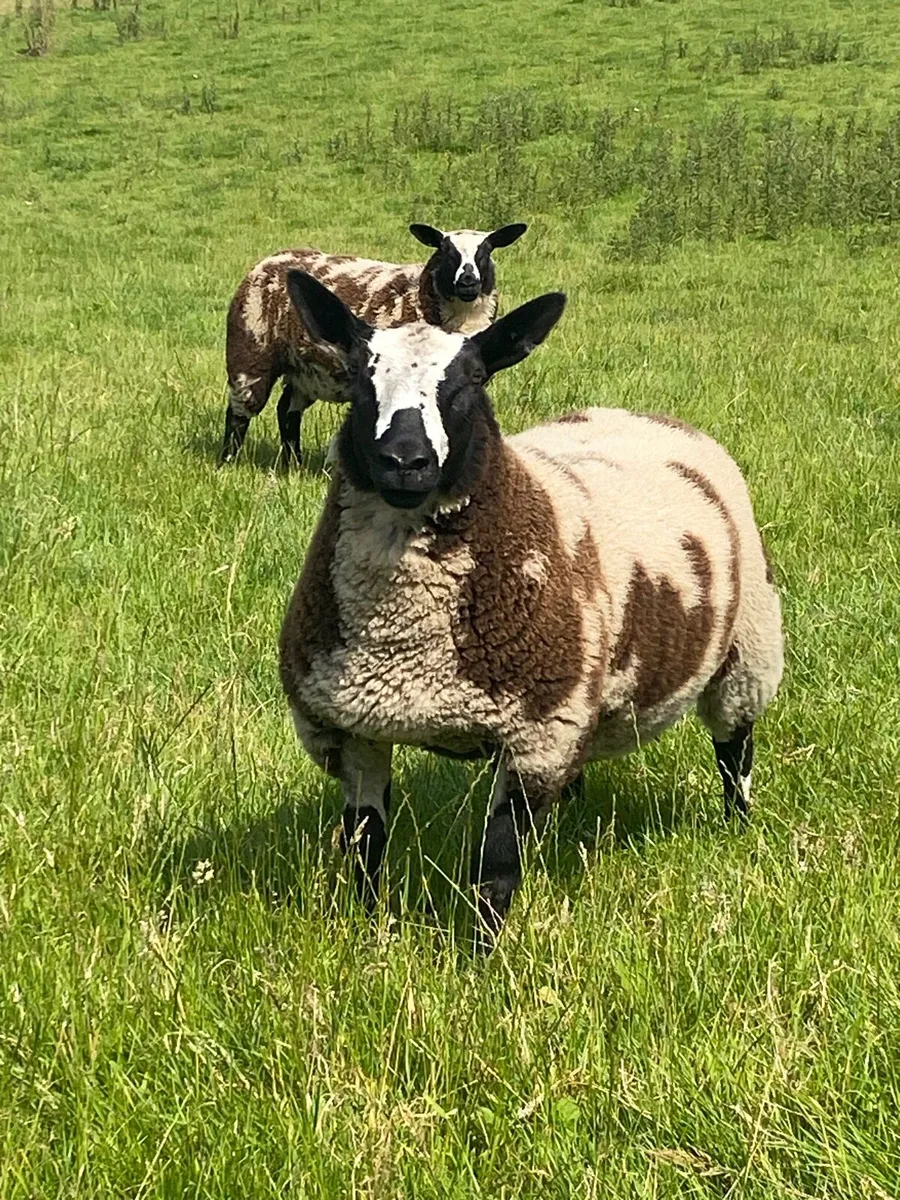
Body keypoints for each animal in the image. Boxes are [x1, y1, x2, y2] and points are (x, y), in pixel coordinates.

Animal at [221, 222, 528, 466]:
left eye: (485, 252)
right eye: (446, 251)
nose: (467, 281)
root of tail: (268, 260)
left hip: (307, 370)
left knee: (287, 410)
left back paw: (293, 463)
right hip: (250, 350)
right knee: (239, 411)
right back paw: (228, 461)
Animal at [277, 271, 784, 948]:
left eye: (471, 380)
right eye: (359, 378)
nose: (404, 462)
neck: (403, 635)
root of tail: (643, 414)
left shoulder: (535, 735)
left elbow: (494, 870)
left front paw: (478, 959)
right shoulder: (356, 728)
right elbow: (365, 846)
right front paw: (367, 935)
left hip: (745, 649)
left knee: (735, 751)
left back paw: (737, 826)